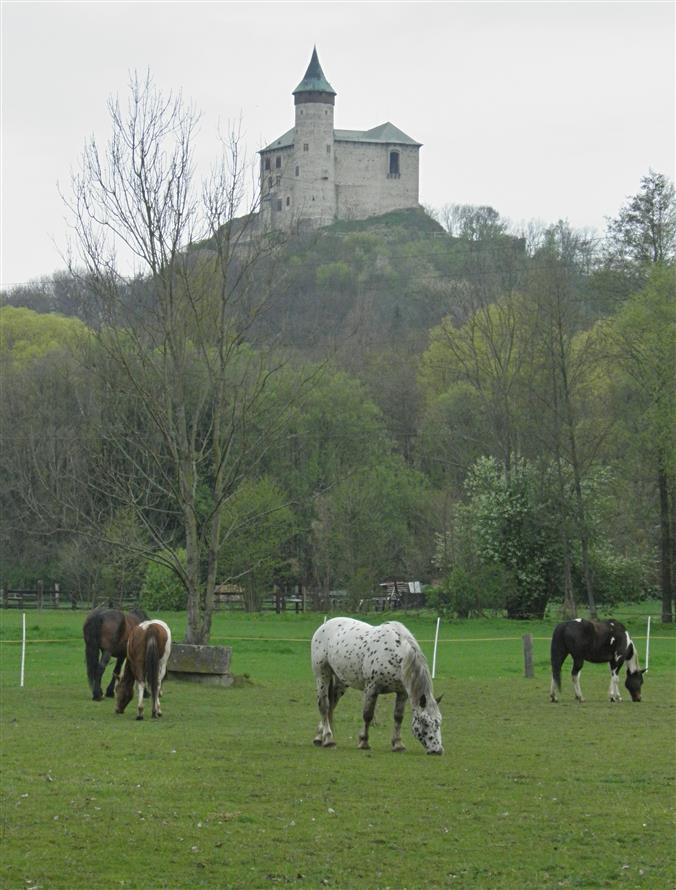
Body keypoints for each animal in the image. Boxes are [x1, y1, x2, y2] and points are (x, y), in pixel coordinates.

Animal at [312, 616, 444, 756]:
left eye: (439, 722)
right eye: (425, 722)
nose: (437, 750)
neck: (395, 653)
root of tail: (325, 625)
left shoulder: (402, 693)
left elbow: (398, 717)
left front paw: (398, 744)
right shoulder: (372, 689)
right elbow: (368, 715)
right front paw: (364, 742)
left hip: (341, 682)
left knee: (331, 705)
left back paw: (320, 737)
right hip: (322, 675)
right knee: (324, 706)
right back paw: (328, 739)